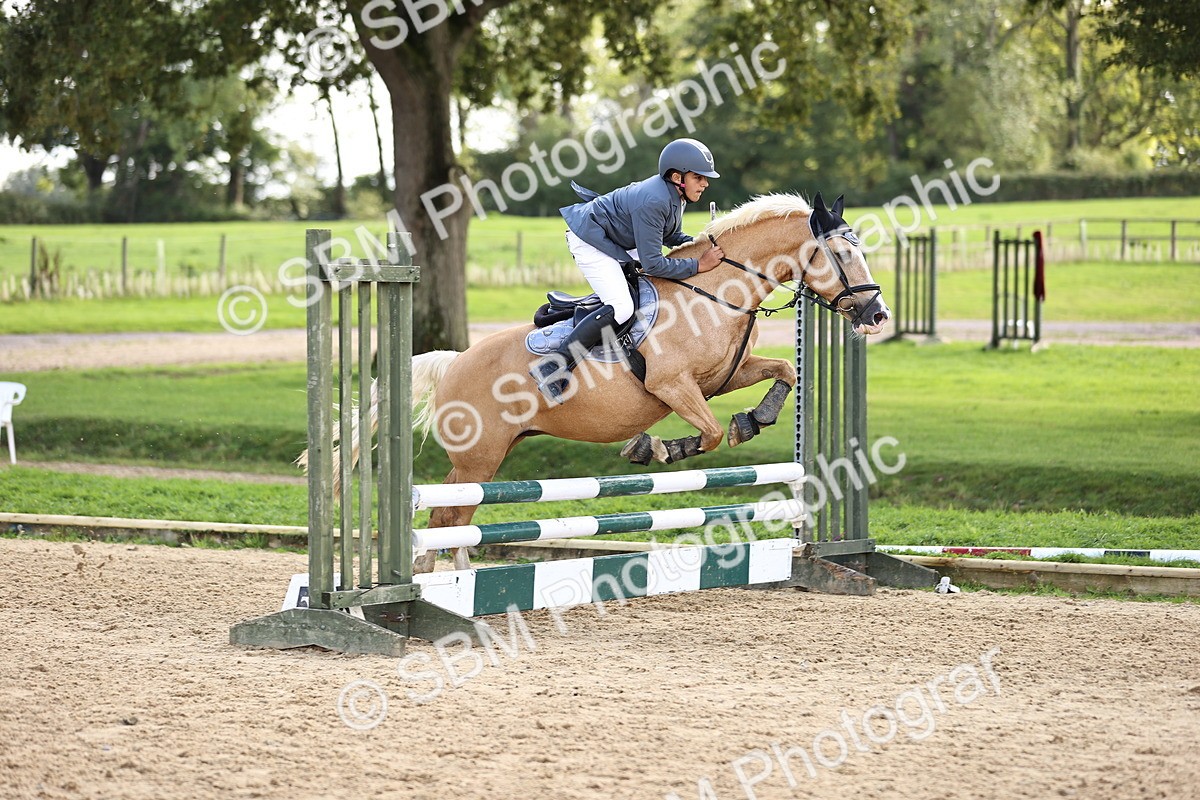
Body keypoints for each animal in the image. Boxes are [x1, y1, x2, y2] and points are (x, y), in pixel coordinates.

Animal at [334, 192, 890, 572]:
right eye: (842, 256)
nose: (876, 315)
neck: (716, 291)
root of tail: (452, 364)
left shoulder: (725, 377)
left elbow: (784, 373)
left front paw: (753, 420)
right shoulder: (674, 386)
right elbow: (707, 435)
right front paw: (658, 448)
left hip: (488, 457)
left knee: (453, 519)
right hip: (479, 457)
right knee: (446, 520)